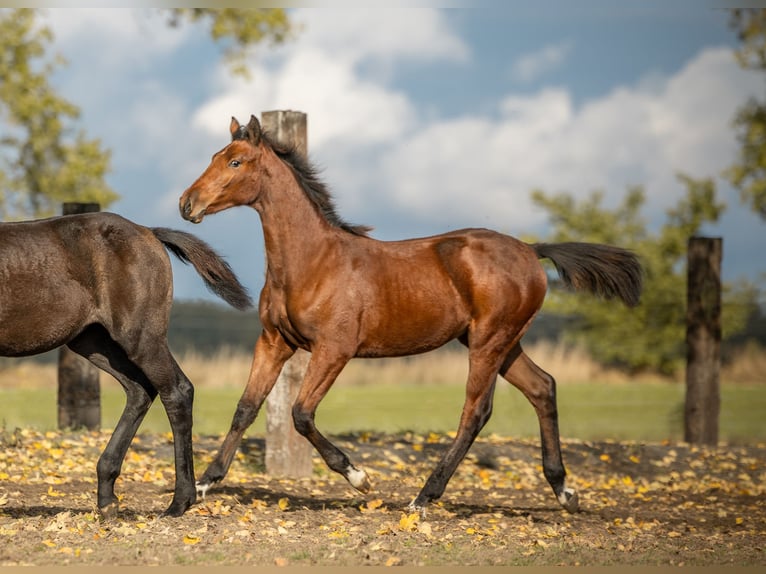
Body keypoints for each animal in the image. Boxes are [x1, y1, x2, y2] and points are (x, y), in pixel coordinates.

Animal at [0, 214, 252, 520]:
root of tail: (149, 232)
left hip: (139, 336)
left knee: (177, 391)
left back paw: (179, 502)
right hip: (93, 341)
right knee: (139, 390)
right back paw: (107, 496)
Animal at [180, 115, 640, 516]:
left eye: (235, 162)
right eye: (215, 156)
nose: (187, 203)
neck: (311, 261)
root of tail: (531, 250)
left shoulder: (334, 349)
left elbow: (300, 413)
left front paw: (359, 477)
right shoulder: (275, 341)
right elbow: (246, 407)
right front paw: (204, 484)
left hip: (489, 342)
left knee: (476, 411)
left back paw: (423, 497)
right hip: (502, 342)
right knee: (543, 387)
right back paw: (564, 491)